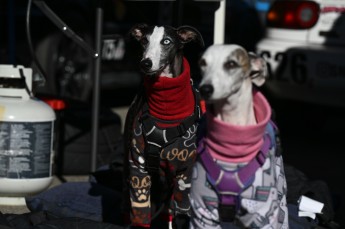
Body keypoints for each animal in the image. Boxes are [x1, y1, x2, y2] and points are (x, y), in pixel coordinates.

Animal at [123, 23, 203, 229]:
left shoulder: (184, 171)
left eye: (166, 41)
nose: (146, 63)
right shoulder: (138, 166)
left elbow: (181, 212)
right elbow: (140, 210)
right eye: (144, 40)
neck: (167, 109)